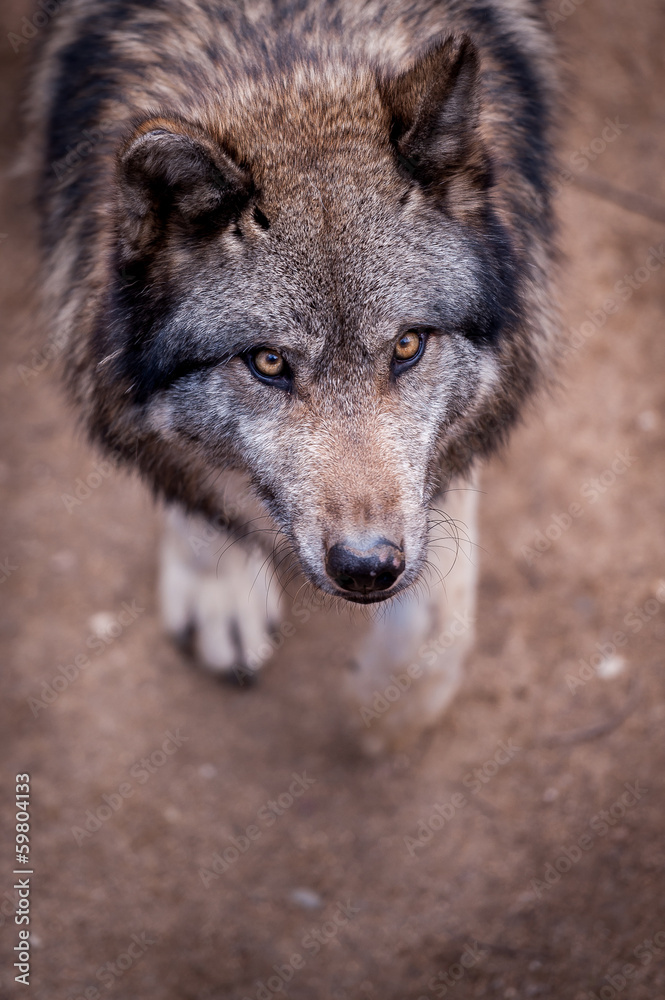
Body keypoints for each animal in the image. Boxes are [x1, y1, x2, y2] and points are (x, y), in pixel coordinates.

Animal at [28, 0, 558, 752]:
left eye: (406, 345)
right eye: (269, 363)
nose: (367, 567)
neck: (285, 43)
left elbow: (433, 608)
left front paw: (386, 709)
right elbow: (189, 484)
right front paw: (219, 580)